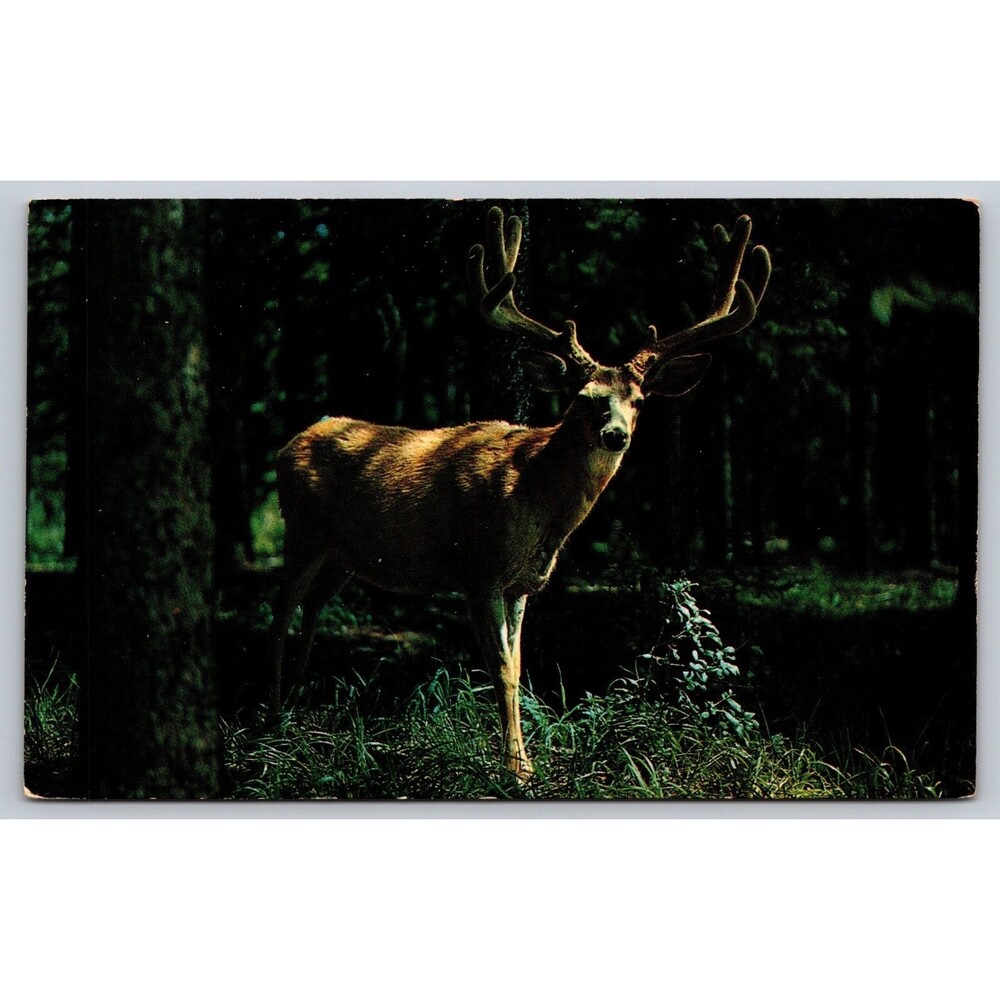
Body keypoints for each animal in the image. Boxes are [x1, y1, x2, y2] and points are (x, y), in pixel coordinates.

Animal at [272, 205, 770, 781]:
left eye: (640, 400)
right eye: (583, 397)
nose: (615, 434)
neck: (534, 501)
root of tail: (290, 443)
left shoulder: (521, 585)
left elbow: (521, 664)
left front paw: (525, 758)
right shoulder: (478, 569)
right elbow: (503, 670)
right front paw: (516, 769)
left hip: (344, 555)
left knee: (313, 606)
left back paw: (299, 700)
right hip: (301, 531)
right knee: (281, 609)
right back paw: (271, 716)